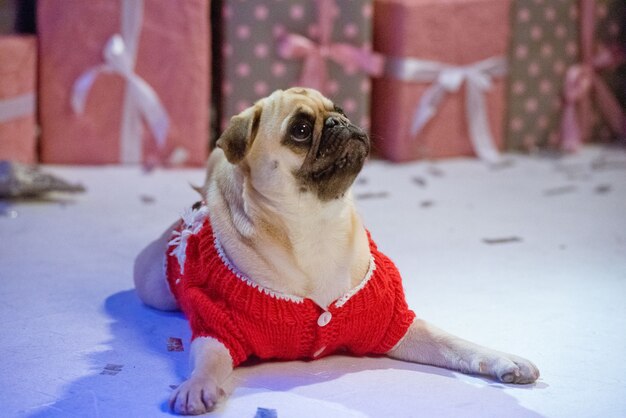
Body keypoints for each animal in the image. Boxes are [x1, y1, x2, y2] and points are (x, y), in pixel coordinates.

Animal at [134, 87, 540, 414]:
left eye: (341, 108)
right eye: (300, 130)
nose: (339, 122)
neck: (315, 223)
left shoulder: (396, 325)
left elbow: (457, 344)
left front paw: (504, 360)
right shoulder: (220, 327)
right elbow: (209, 360)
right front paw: (197, 386)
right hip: (155, 287)